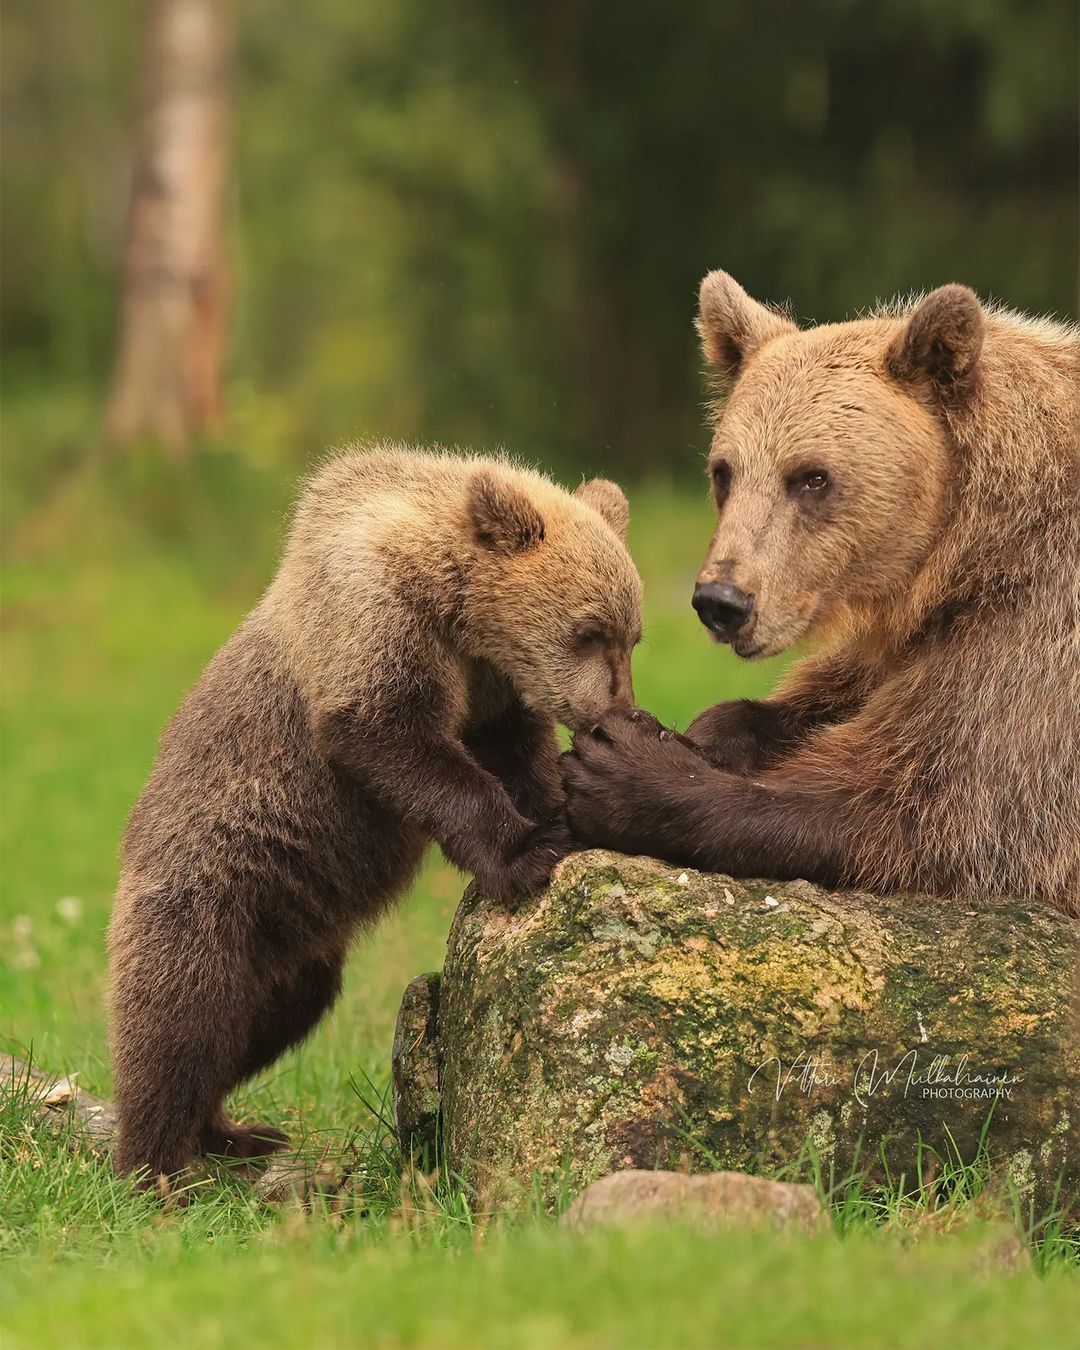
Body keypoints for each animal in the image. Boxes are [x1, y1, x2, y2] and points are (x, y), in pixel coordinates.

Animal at [564, 274, 1080, 918]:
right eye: (724, 471)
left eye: (812, 477)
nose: (722, 601)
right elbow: (830, 697)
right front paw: (704, 733)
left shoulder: (1039, 630)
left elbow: (936, 804)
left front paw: (622, 764)